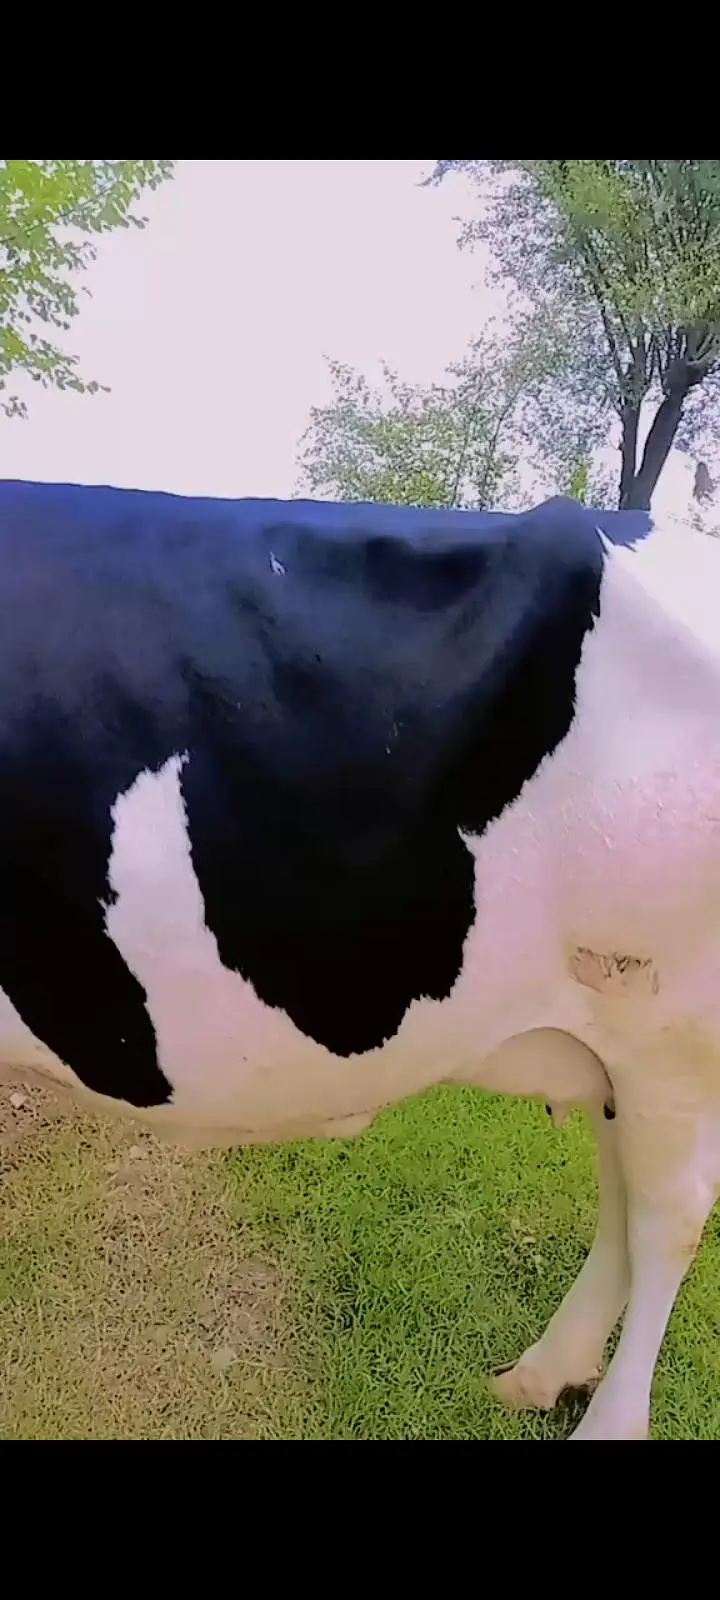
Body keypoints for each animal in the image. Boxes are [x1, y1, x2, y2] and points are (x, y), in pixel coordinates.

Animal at [1, 478, 719, 1442]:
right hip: (619, 1032)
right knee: (626, 1195)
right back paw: (542, 1374)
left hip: (673, 1027)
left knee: (669, 1217)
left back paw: (602, 1421)